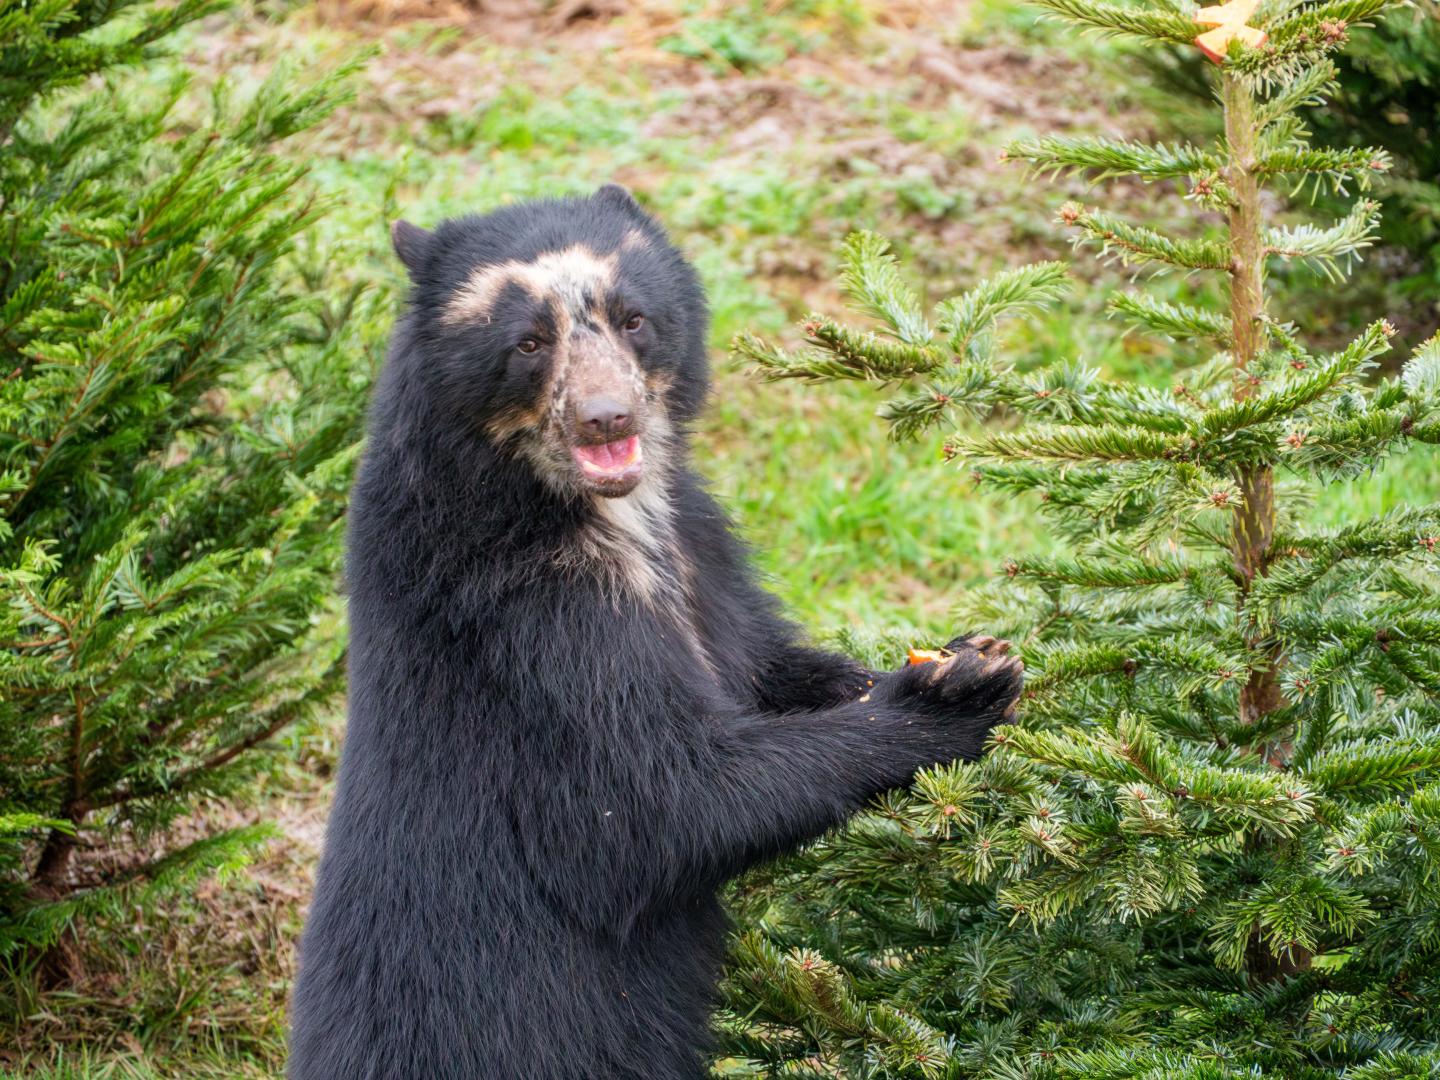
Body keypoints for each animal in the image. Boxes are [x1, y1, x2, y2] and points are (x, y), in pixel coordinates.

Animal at [287, 184, 1024, 1080]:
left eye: (632, 318)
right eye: (528, 341)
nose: (607, 419)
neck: (603, 513)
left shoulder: (699, 542)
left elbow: (763, 666)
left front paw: (946, 656)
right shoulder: (525, 618)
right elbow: (658, 803)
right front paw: (955, 692)